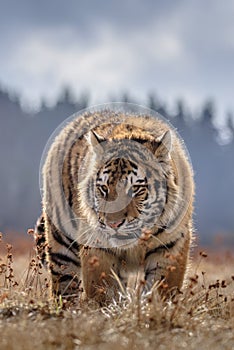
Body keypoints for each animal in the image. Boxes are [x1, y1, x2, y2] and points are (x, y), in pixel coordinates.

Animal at [35, 106, 194, 304]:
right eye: (103, 188)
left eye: (135, 188)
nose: (113, 224)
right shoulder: (97, 246)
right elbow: (103, 289)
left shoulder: (170, 247)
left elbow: (162, 291)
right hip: (61, 247)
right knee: (64, 286)